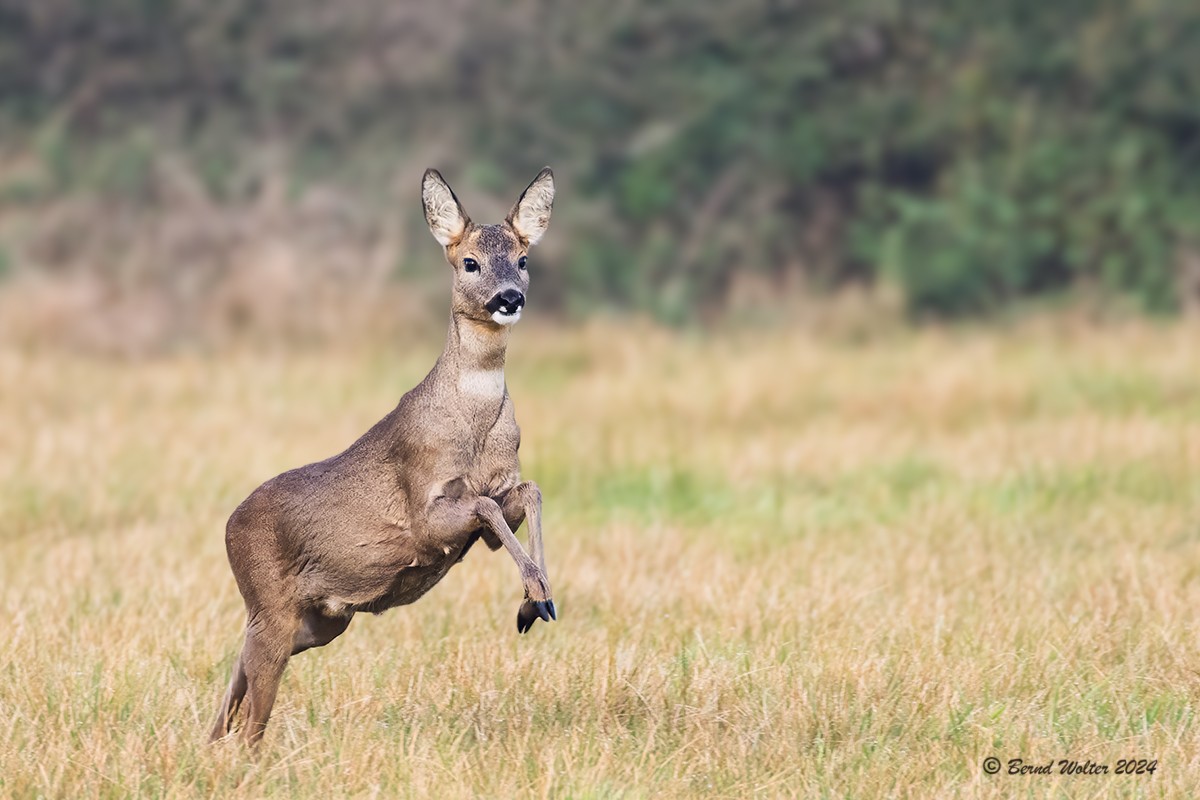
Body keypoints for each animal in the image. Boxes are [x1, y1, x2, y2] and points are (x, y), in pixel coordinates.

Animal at [209, 168, 558, 745]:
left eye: (523, 259)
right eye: (470, 261)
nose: (508, 297)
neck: (473, 422)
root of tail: (228, 526)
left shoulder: (496, 498)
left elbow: (528, 492)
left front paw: (537, 600)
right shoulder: (426, 514)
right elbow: (484, 505)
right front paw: (538, 594)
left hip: (323, 619)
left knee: (239, 668)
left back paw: (211, 741)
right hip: (270, 600)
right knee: (256, 699)